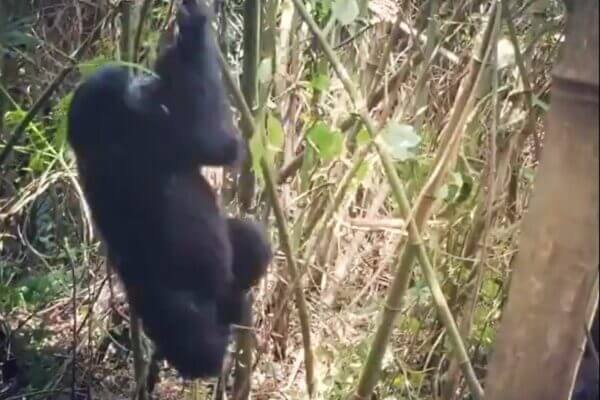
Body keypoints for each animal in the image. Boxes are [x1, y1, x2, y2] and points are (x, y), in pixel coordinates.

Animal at [67, 0, 270, 378]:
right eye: (131, 83)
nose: (145, 81)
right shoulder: (156, 131)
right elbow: (217, 142)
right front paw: (193, 29)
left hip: (220, 285)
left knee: (250, 242)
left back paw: (237, 305)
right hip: (163, 303)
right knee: (188, 330)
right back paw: (209, 353)